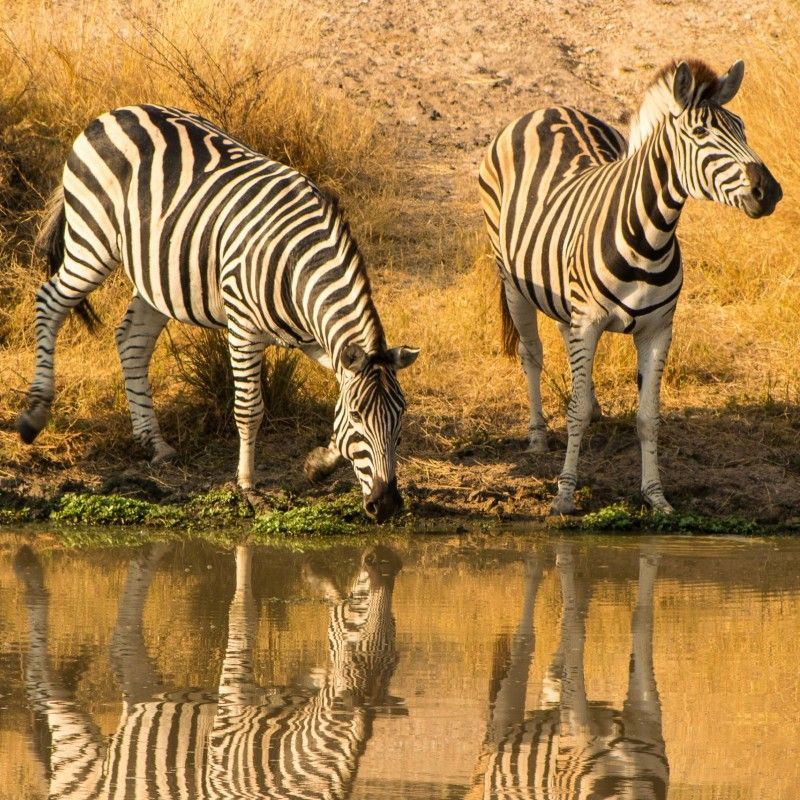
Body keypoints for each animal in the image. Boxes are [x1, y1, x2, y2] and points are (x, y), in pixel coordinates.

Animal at [12, 542, 403, 800]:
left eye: (396, 656)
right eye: (354, 642)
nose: (383, 556)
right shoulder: (232, 707)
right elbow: (244, 615)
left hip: (140, 705)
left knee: (123, 652)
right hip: (80, 758)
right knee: (49, 691)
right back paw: (28, 570)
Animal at [15, 104, 419, 521]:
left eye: (401, 416)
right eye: (358, 417)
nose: (386, 504)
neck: (297, 267)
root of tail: (115, 112)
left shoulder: (318, 342)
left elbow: (337, 394)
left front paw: (319, 463)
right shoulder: (243, 329)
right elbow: (250, 409)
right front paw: (248, 487)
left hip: (157, 272)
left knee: (131, 340)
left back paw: (153, 442)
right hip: (91, 244)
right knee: (49, 302)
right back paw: (33, 415)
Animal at [479, 60, 782, 514]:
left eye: (742, 129)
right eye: (700, 134)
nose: (771, 192)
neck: (649, 238)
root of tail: (550, 108)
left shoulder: (658, 329)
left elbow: (648, 418)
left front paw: (656, 496)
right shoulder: (588, 321)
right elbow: (574, 413)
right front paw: (564, 495)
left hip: (562, 294)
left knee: (565, 343)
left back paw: (592, 406)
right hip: (511, 278)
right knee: (531, 354)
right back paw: (537, 436)